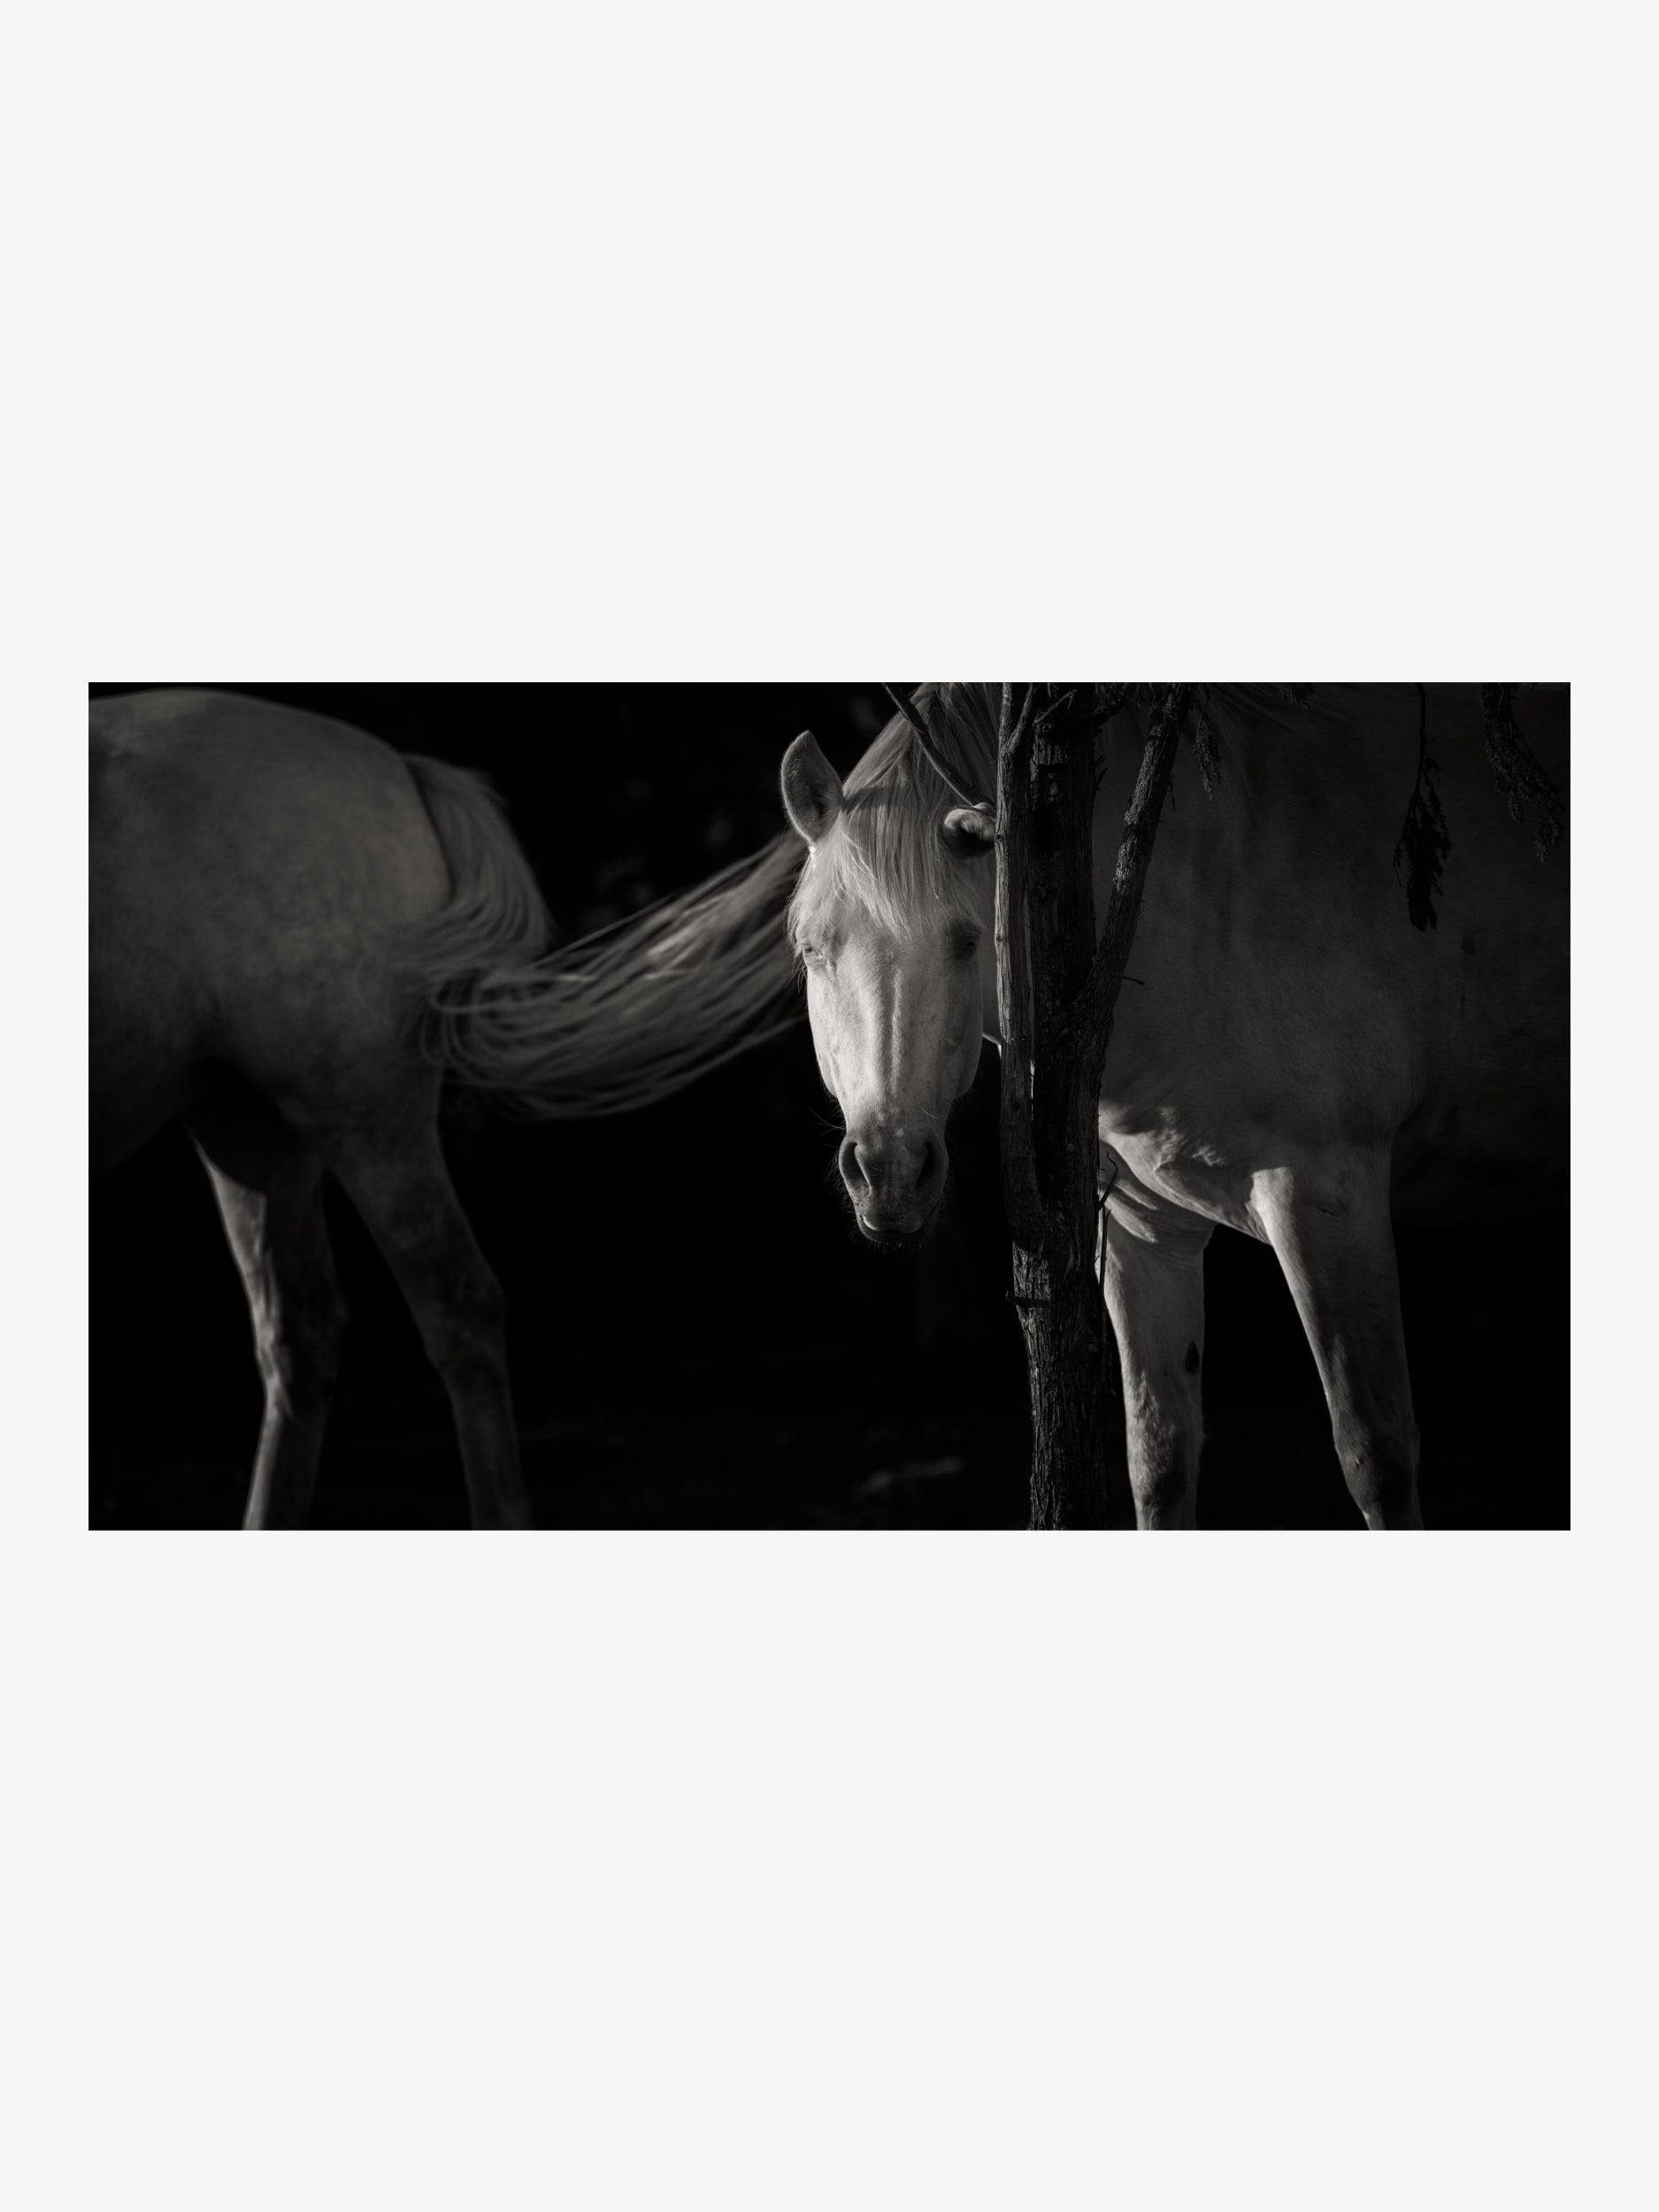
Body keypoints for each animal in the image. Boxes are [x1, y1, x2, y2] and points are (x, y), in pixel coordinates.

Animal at [778, 683, 1569, 1529]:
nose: (889, 1173)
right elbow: (1158, 1456)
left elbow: (1375, 1454)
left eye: (965, 941)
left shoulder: (1328, 1199)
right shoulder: (1140, 1228)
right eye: (811, 949)